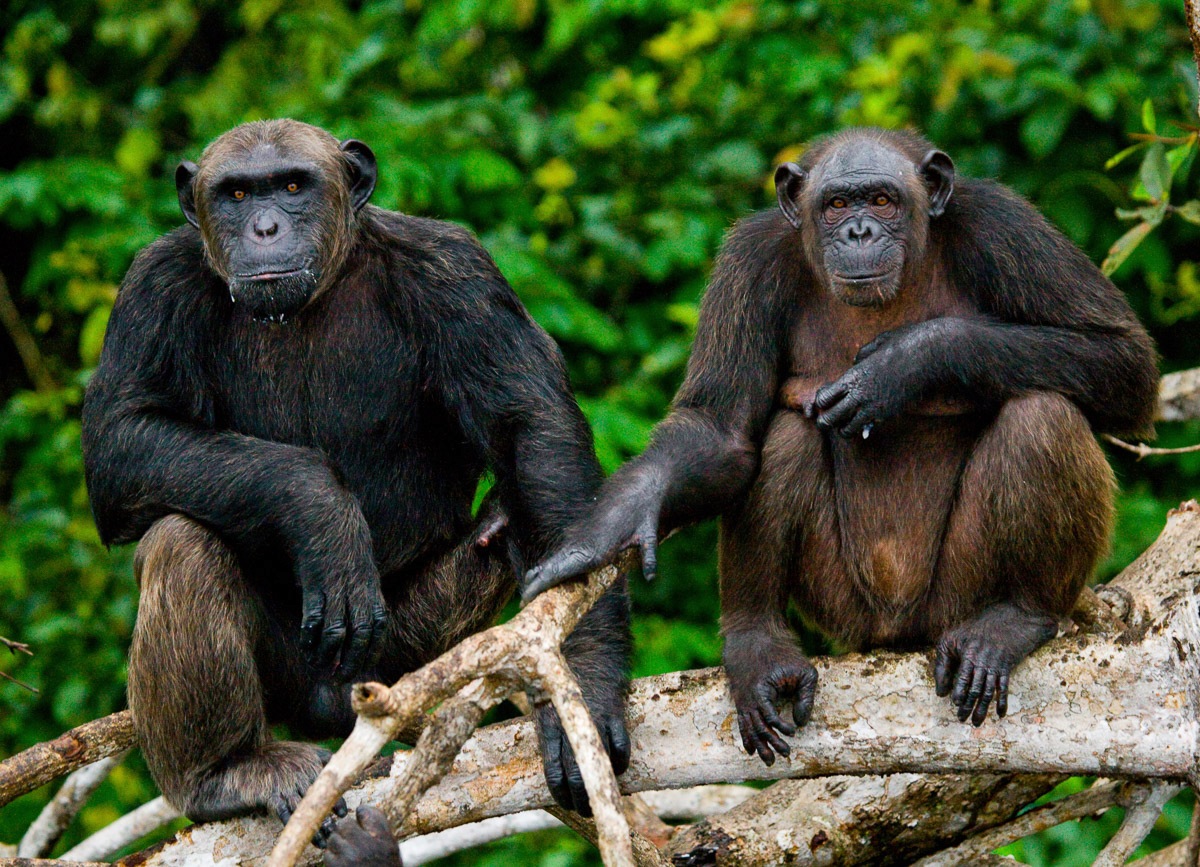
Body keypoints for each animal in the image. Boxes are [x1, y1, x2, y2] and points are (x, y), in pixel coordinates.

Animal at [81, 118, 633, 835]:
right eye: (236, 193)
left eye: (293, 186)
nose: (264, 227)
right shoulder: (153, 284)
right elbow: (121, 439)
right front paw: (318, 509)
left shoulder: (457, 273)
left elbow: (532, 430)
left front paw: (587, 686)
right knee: (182, 543)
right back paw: (224, 772)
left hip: (398, 656)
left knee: (510, 509)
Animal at [520, 124, 1156, 758]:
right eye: (835, 205)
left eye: (881, 200)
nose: (859, 232)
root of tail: (897, 631)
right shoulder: (749, 263)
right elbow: (720, 429)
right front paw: (608, 527)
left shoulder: (1006, 227)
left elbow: (1122, 357)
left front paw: (904, 362)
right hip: (842, 608)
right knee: (786, 434)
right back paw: (759, 644)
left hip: (957, 594)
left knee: (1044, 414)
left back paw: (1015, 620)